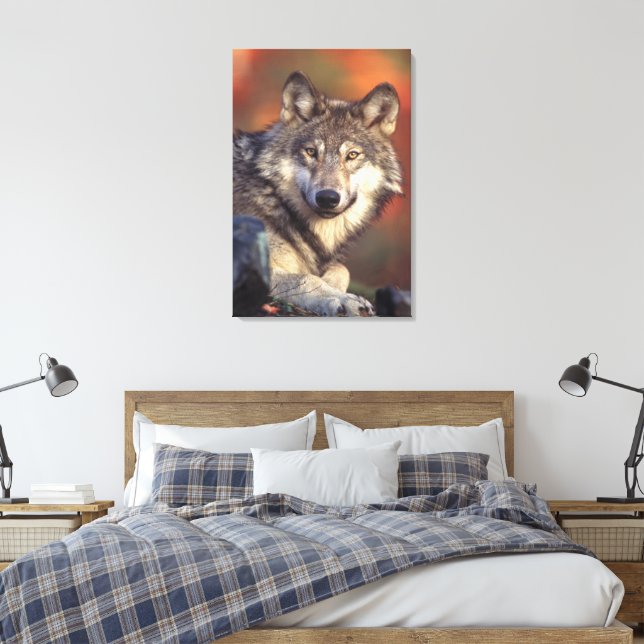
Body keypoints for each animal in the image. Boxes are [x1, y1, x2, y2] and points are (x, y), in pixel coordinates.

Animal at [233, 71, 403, 316]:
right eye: (311, 152)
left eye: (352, 155)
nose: (327, 198)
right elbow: (306, 278)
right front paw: (342, 299)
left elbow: (341, 269)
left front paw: (334, 287)